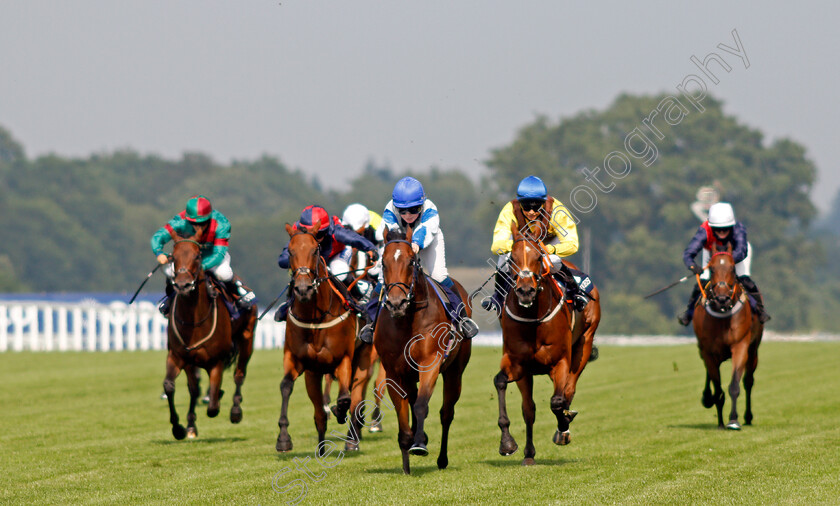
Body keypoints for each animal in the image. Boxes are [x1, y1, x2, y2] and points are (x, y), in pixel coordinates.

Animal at [162, 231, 256, 440]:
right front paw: (180, 427)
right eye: (173, 257)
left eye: (197, 256)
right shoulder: (179, 356)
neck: (194, 320)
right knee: (195, 389)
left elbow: (213, 406)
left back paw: (235, 411)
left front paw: (217, 397)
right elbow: (172, 386)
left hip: (247, 338)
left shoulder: (216, 361)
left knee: (239, 375)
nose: (183, 285)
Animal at [278, 221, 366, 454]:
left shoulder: (343, 358)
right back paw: (321, 448)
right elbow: (286, 386)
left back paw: (351, 439)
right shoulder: (300, 361)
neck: (316, 319)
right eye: (290, 251)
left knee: (355, 397)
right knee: (319, 413)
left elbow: (344, 399)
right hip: (313, 375)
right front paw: (283, 438)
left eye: (314, 250)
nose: (303, 289)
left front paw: (338, 411)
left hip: (364, 361)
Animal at [374, 228, 472, 474]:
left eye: (411, 261)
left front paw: (419, 444)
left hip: (455, 372)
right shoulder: (393, 372)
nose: (396, 303)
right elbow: (402, 411)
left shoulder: (431, 363)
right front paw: (406, 459)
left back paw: (442, 459)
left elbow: (421, 406)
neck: (407, 321)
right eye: (383, 262)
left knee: (446, 413)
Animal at [496, 225, 600, 466]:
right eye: (512, 258)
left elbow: (557, 401)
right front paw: (510, 445)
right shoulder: (519, 365)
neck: (533, 319)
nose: (526, 291)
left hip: (584, 344)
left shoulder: (560, 361)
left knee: (568, 390)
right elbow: (511, 393)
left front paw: (563, 426)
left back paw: (564, 428)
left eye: (538, 257)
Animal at [692, 243, 764, 428]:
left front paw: (733, 420)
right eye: (711, 268)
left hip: (753, 350)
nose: (722, 299)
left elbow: (734, 386)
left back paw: (748, 417)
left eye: (732, 268)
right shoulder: (708, 352)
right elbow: (717, 389)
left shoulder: (740, 346)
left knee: (748, 381)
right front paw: (720, 422)